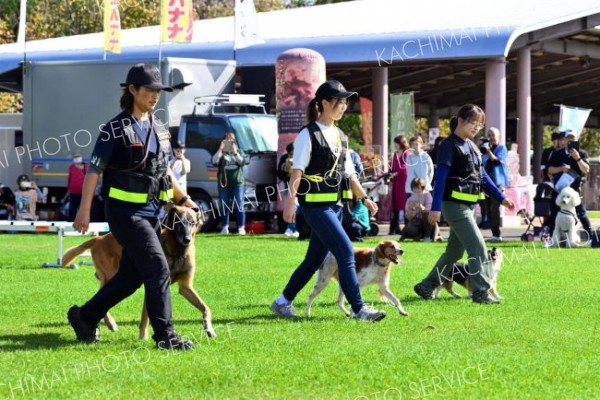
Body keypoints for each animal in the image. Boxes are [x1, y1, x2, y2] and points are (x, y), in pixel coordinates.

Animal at [61, 205, 213, 340]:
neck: (177, 252)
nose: (187, 239)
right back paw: (108, 323)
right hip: (113, 275)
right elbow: (145, 318)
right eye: (179, 222)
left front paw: (209, 328)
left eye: (192, 223)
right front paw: (143, 338)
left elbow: (205, 307)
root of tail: (99, 238)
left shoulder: (185, 287)